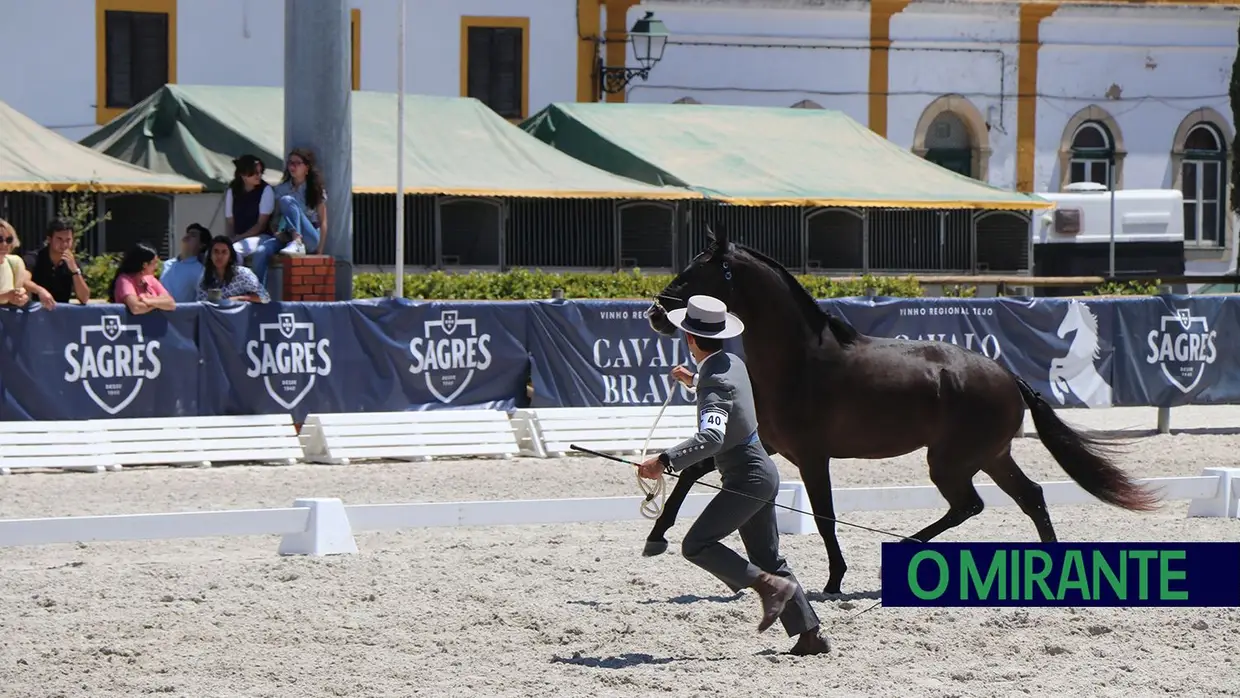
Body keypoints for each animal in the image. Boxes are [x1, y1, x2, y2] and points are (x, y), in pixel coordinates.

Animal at [639, 225, 1160, 595]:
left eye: (697, 273)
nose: (656, 313)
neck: (801, 360)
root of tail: (1008, 376)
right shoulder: (765, 442)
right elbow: (690, 472)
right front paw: (657, 535)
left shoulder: (811, 456)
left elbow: (825, 515)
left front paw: (834, 580)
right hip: (990, 457)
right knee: (1029, 497)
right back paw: (1050, 571)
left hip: (951, 462)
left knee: (971, 504)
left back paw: (905, 551)